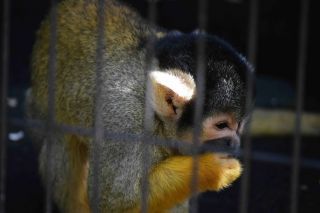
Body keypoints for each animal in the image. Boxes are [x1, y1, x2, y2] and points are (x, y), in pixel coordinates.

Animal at [26, 0, 252, 211]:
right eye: (222, 126)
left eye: (239, 126)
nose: (235, 144)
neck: (157, 120)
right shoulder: (126, 124)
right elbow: (113, 202)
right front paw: (213, 168)